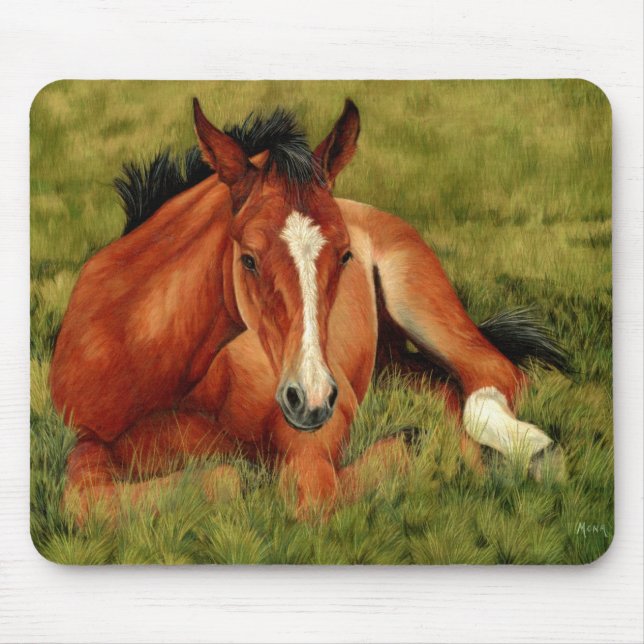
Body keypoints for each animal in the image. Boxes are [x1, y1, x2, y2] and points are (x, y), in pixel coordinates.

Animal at [50, 98, 567, 521]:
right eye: (248, 258)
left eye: (344, 254)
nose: (312, 396)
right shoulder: (86, 442)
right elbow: (91, 501)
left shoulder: (317, 433)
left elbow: (307, 493)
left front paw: (420, 449)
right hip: (389, 365)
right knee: (443, 388)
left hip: (418, 301)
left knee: (493, 373)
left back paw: (531, 453)